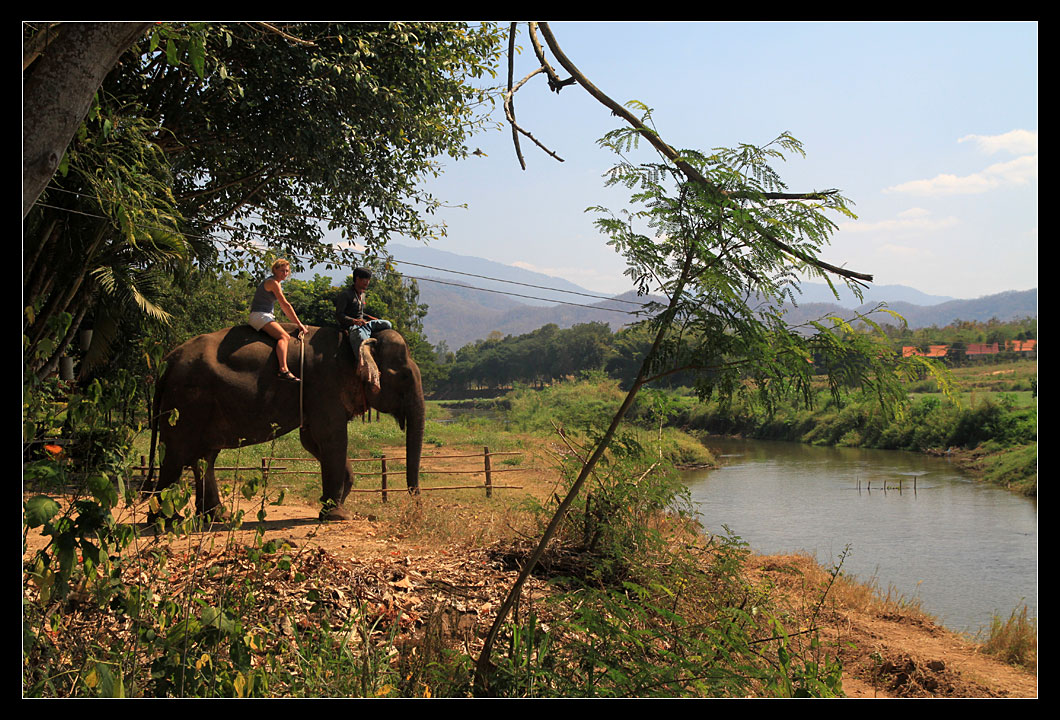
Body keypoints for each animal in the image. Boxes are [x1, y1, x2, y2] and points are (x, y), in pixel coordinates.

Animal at [147, 323, 424, 521]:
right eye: (404, 376)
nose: (415, 509)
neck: (350, 343)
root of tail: (169, 359)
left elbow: (312, 441)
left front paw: (334, 504)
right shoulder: (325, 386)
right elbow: (332, 438)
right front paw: (338, 516)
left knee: (204, 457)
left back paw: (217, 517)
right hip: (185, 403)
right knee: (176, 453)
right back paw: (165, 521)